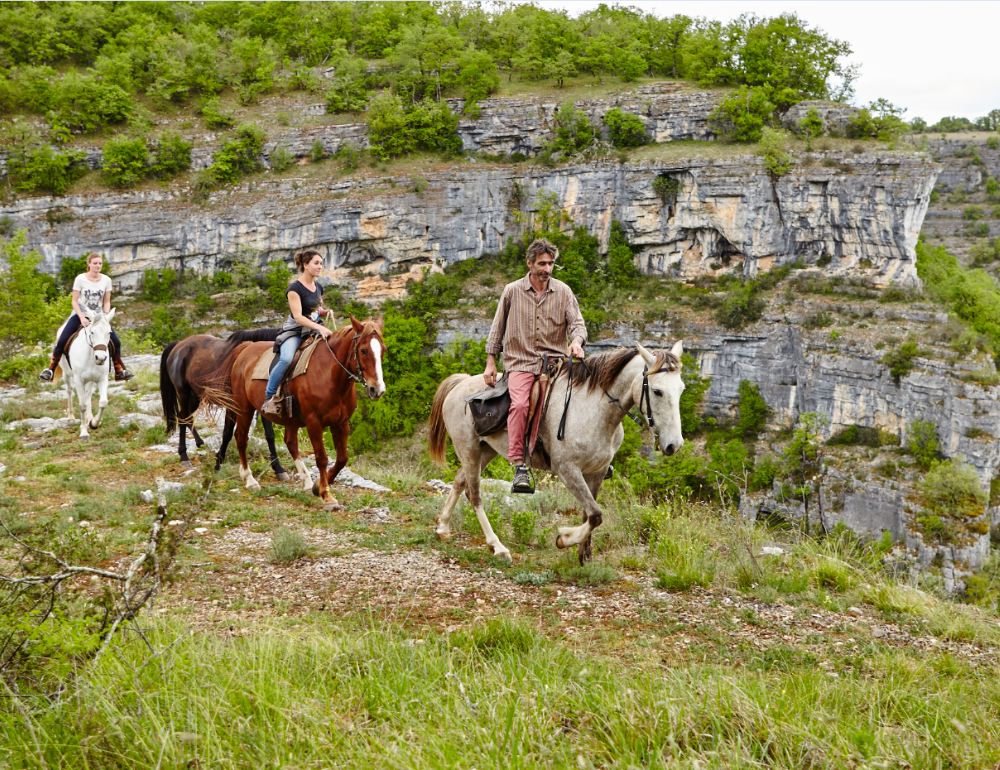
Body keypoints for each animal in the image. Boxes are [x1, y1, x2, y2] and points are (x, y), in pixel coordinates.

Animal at [215, 316, 386, 508]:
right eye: (363, 350)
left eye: (383, 350)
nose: (377, 389)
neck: (329, 374)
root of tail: (246, 349)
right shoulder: (314, 422)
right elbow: (322, 458)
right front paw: (327, 495)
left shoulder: (341, 423)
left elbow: (342, 458)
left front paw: (318, 485)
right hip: (244, 408)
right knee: (241, 438)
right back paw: (249, 479)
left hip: (289, 418)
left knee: (290, 443)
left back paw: (307, 481)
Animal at [426, 340, 684, 560]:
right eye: (657, 391)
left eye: (681, 389)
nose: (674, 445)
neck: (594, 410)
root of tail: (461, 383)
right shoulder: (567, 470)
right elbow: (595, 514)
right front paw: (565, 538)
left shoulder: (597, 472)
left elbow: (589, 513)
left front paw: (584, 554)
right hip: (468, 448)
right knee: (475, 495)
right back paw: (497, 546)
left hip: (486, 450)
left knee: (460, 481)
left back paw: (443, 527)